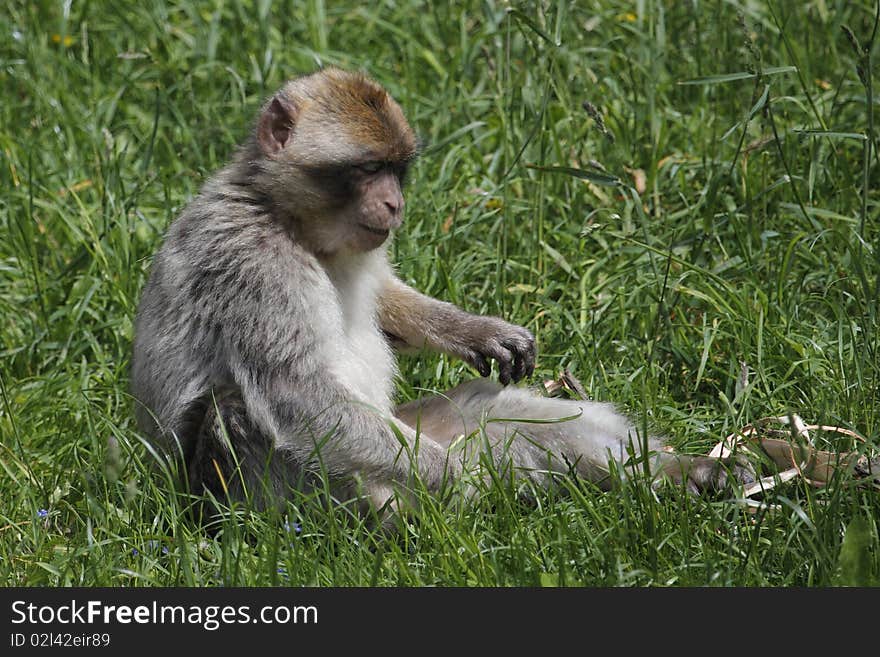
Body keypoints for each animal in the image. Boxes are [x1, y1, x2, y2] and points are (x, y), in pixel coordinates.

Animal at [129, 68, 748, 516]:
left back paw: (685, 473)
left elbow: (383, 300)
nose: (394, 203)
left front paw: (477, 332)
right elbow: (298, 394)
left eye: (397, 169)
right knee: (237, 410)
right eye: (367, 169)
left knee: (496, 413)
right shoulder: (251, 262)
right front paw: (456, 476)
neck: (288, 219)